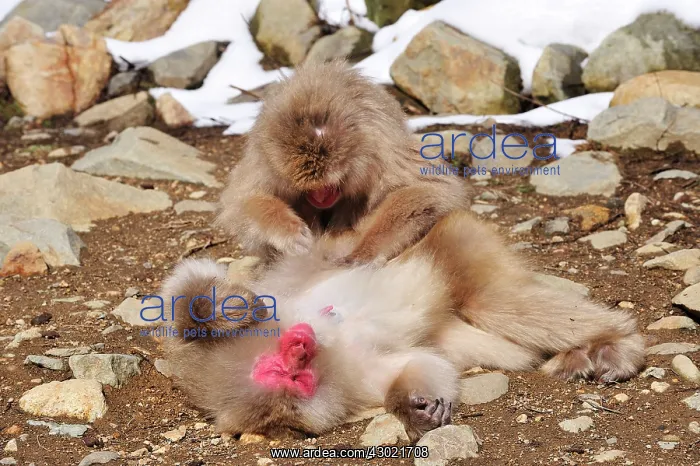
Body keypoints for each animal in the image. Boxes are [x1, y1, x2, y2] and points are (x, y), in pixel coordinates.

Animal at [160, 211, 645, 442]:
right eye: (290, 377)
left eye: (283, 364)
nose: (302, 345)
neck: (334, 347)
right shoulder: (356, 381)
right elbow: (419, 366)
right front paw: (416, 408)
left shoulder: (282, 294)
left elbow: (188, 286)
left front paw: (227, 309)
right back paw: (582, 353)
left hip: (455, 244)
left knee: (496, 302)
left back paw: (620, 343)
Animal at [216, 60, 470, 266]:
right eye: (312, 189)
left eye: (328, 185)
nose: (319, 198)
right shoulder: (265, 158)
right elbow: (241, 200)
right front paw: (288, 231)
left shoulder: (383, 147)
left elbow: (428, 188)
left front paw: (365, 251)